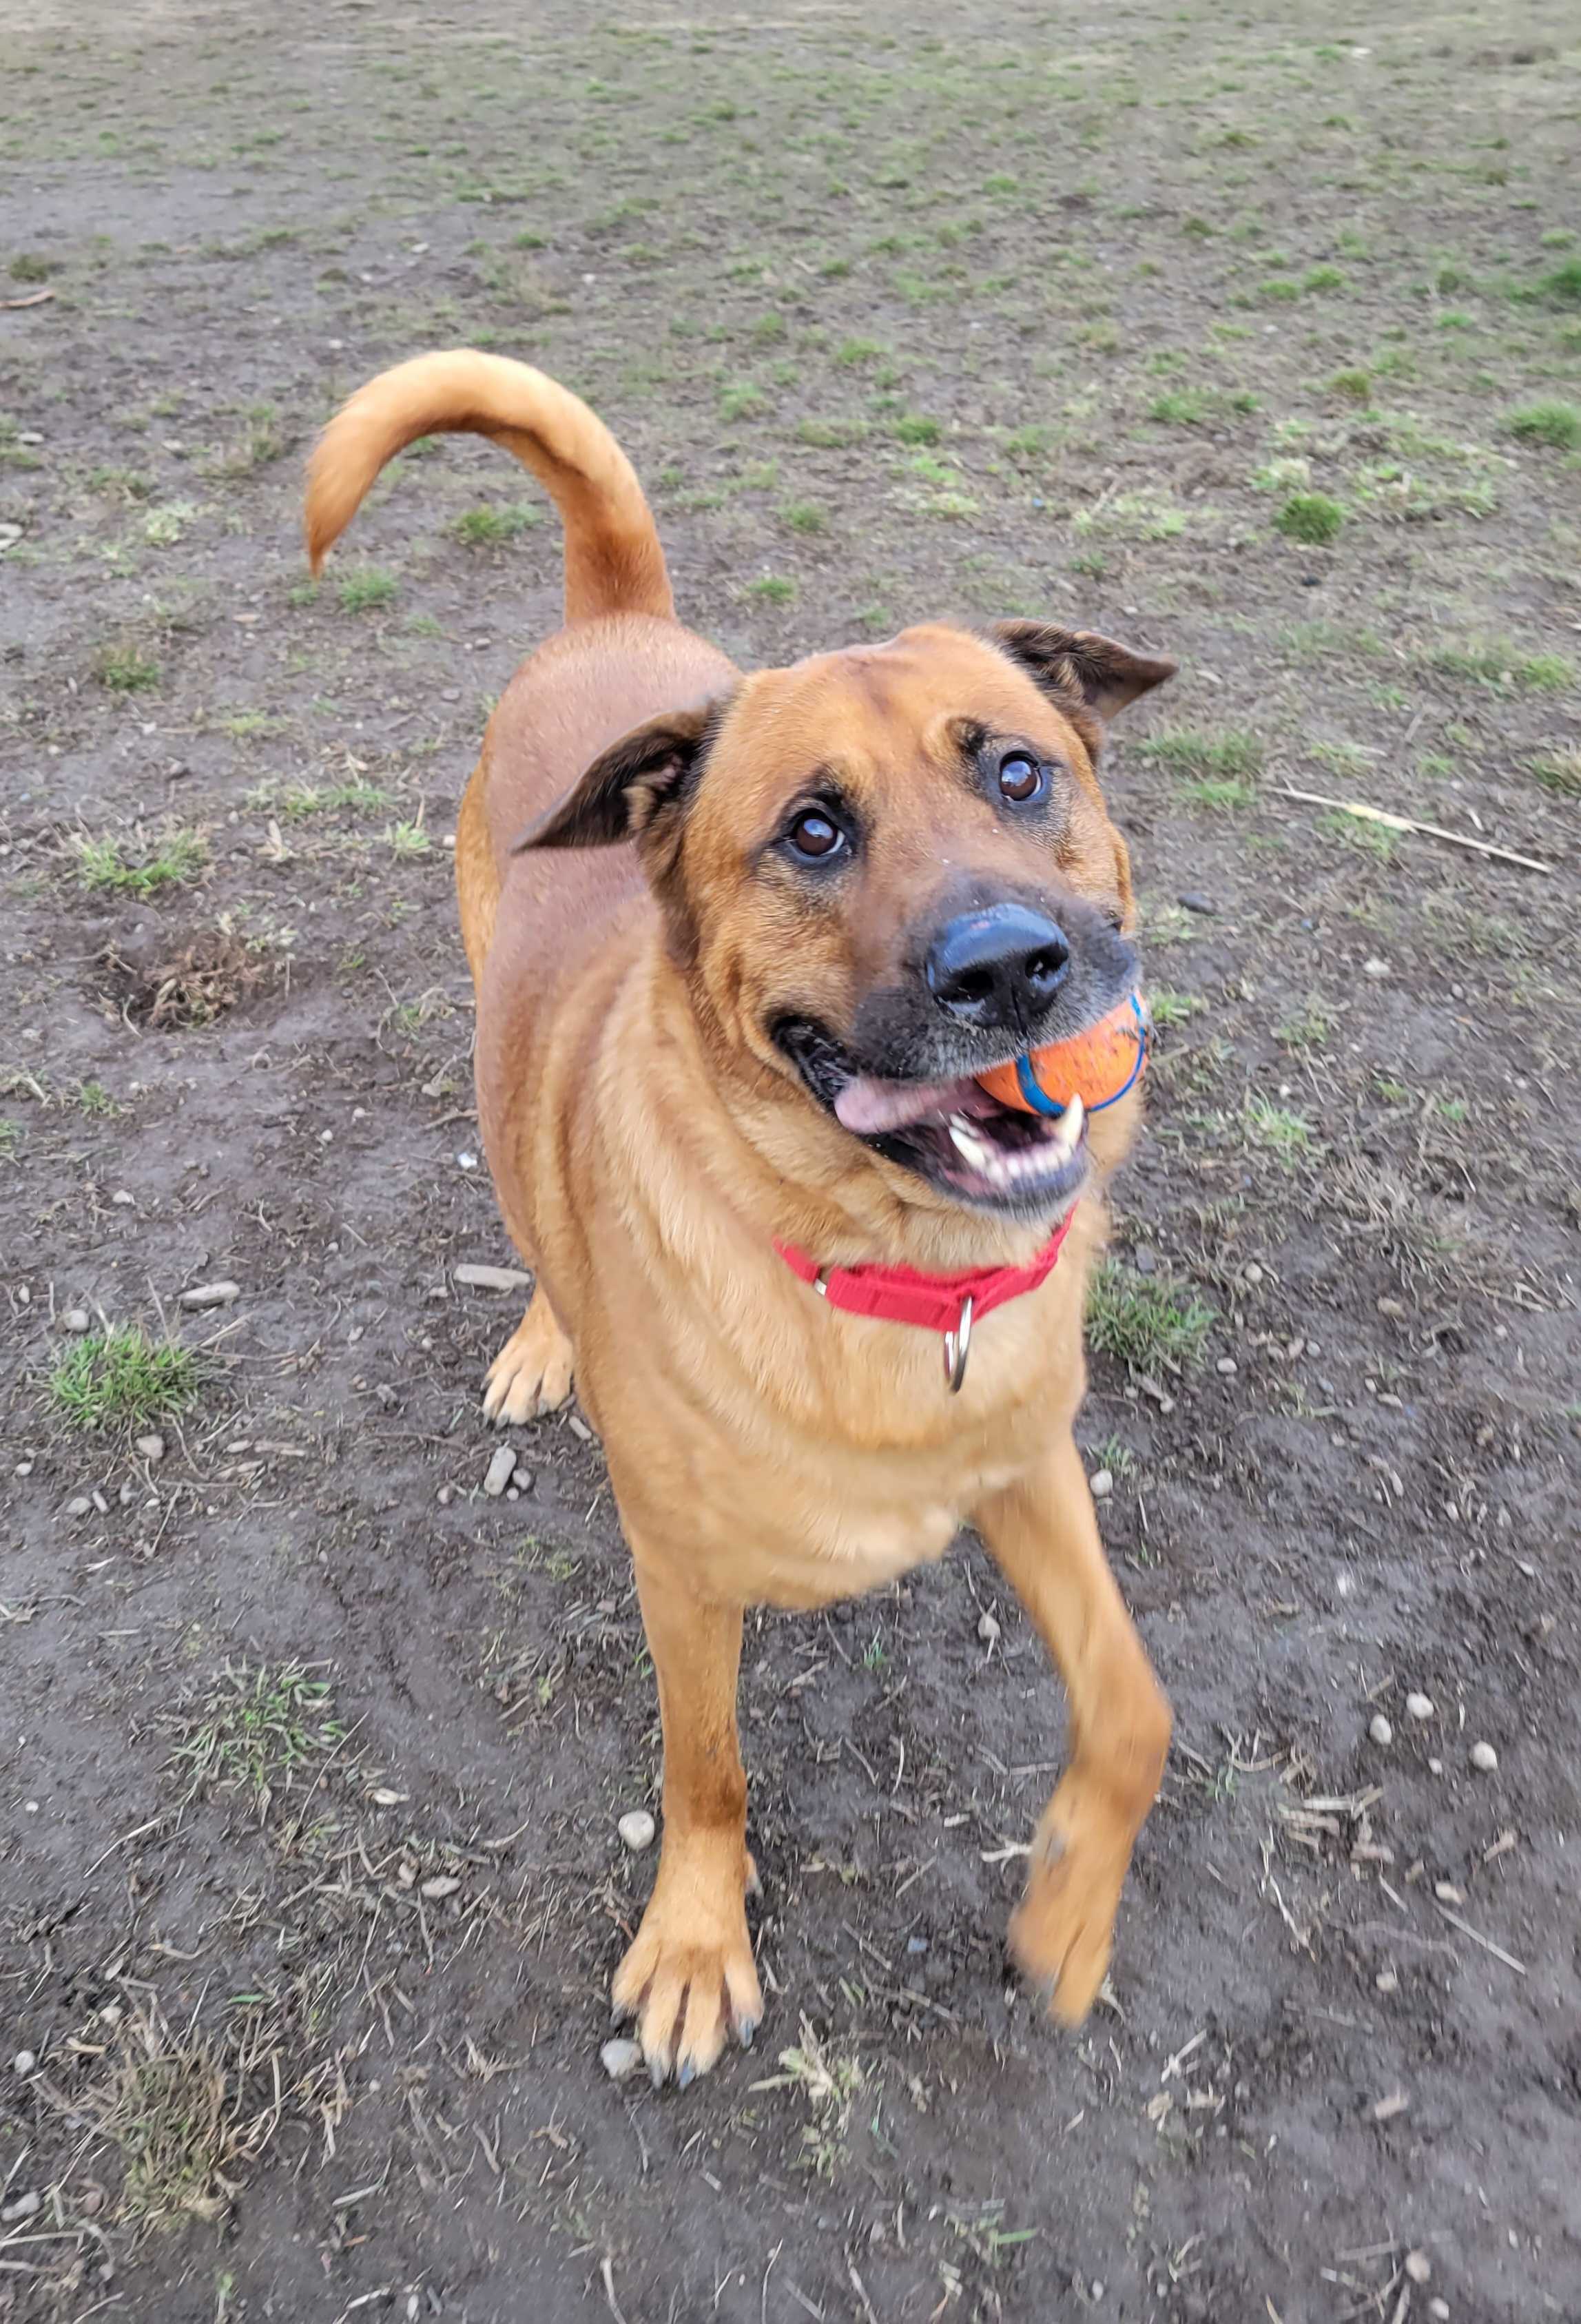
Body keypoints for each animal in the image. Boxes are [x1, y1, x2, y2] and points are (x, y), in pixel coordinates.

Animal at [304, 353, 1172, 2101]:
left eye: (1017, 769)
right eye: (811, 830)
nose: (1010, 967)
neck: (884, 1264)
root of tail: (617, 623)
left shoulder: (1027, 1462)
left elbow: (1132, 1708)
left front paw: (1065, 1907)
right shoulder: (682, 1575)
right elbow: (703, 1769)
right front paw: (699, 1941)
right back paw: (542, 1340)